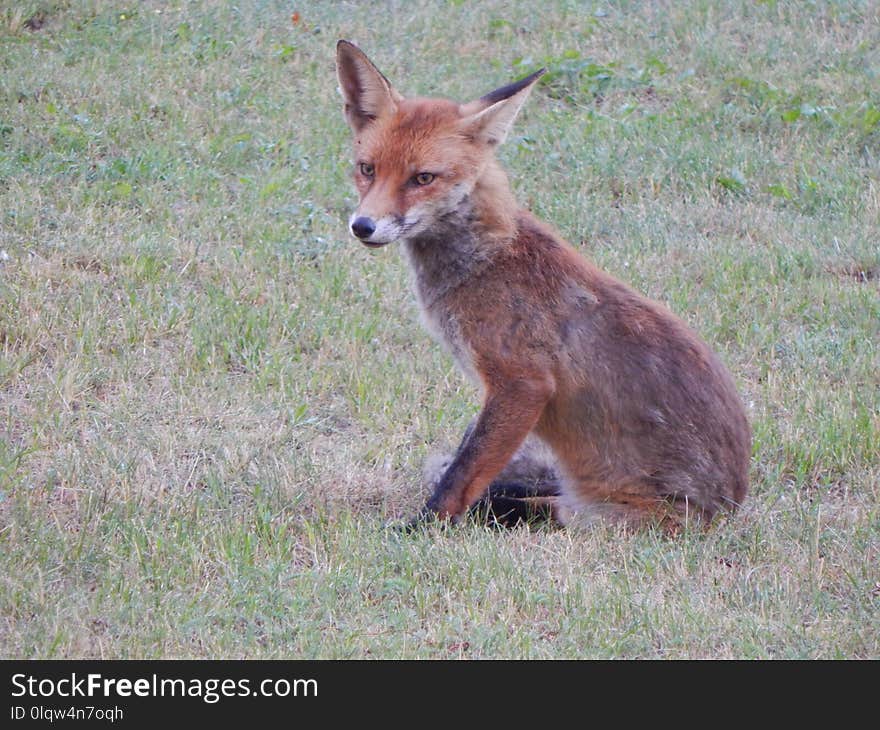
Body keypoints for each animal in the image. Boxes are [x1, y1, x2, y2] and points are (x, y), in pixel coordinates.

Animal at [336, 39, 748, 528]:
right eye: (367, 169)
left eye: (423, 178)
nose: (362, 226)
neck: (486, 259)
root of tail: (730, 507)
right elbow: (464, 460)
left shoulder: (521, 382)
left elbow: (460, 475)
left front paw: (421, 530)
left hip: (597, 517)